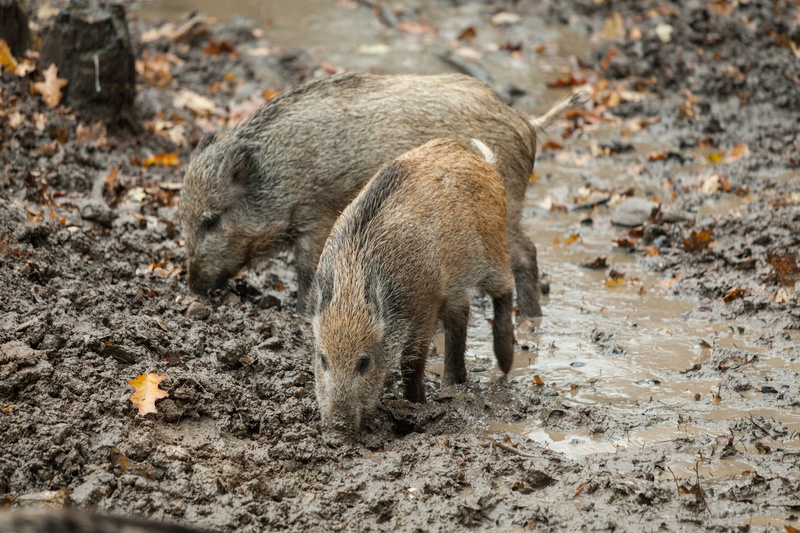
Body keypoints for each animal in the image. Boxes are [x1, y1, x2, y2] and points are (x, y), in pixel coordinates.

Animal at [181, 72, 585, 316]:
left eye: (211, 220)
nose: (193, 286)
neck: (279, 172)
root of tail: (526, 123)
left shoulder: (317, 213)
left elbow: (308, 269)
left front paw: (301, 313)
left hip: (506, 205)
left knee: (526, 254)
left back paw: (529, 319)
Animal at [311, 138, 514, 436]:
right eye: (323, 359)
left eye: (364, 361)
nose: (337, 429)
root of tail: (482, 161)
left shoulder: (427, 304)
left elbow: (412, 360)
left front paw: (416, 404)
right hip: (456, 286)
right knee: (461, 317)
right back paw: (452, 384)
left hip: (494, 249)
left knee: (506, 289)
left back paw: (504, 363)